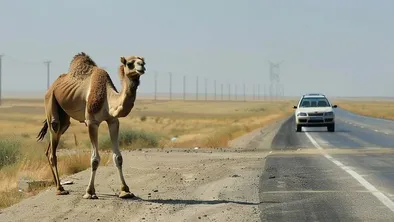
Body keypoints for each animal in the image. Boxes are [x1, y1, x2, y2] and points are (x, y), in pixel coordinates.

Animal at [35, 52, 145, 199]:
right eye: (130, 63)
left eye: (143, 61)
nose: (142, 67)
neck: (108, 98)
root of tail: (52, 85)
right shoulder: (92, 122)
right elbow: (94, 159)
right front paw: (90, 192)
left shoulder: (113, 121)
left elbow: (118, 157)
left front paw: (125, 191)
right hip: (50, 101)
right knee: (53, 136)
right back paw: (60, 189)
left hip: (64, 117)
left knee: (50, 148)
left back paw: (57, 184)